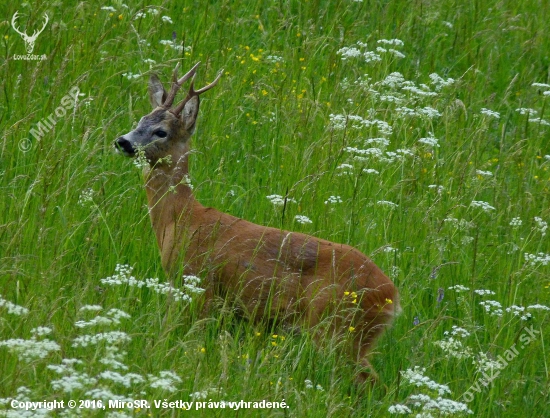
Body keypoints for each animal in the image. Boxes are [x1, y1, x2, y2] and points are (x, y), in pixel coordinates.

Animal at [115, 62, 402, 386]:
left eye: (161, 131)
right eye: (140, 119)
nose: (123, 141)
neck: (181, 220)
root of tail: (392, 296)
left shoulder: (200, 285)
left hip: (338, 329)